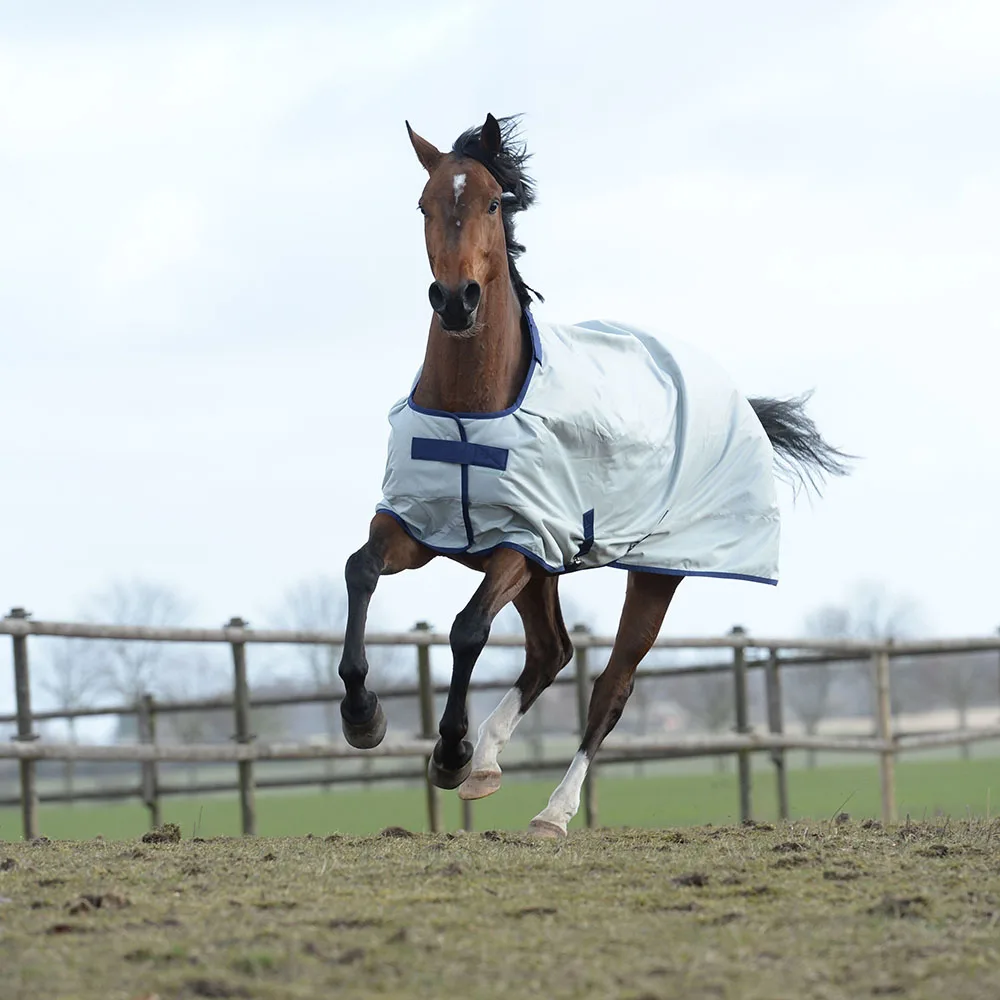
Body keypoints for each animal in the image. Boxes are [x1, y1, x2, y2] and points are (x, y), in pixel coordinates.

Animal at [337, 113, 850, 837]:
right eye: (424, 205)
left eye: (493, 203)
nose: (457, 301)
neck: (473, 410)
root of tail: (739, 400)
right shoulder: (421, 526)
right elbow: (360, 570)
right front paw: (364, 718)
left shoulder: (521, 544)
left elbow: (468, 629)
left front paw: (451, 752)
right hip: (549, 572)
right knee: (551, 651)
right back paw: (490, 762)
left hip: (654, 573)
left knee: (609, 685)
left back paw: (550, 811)